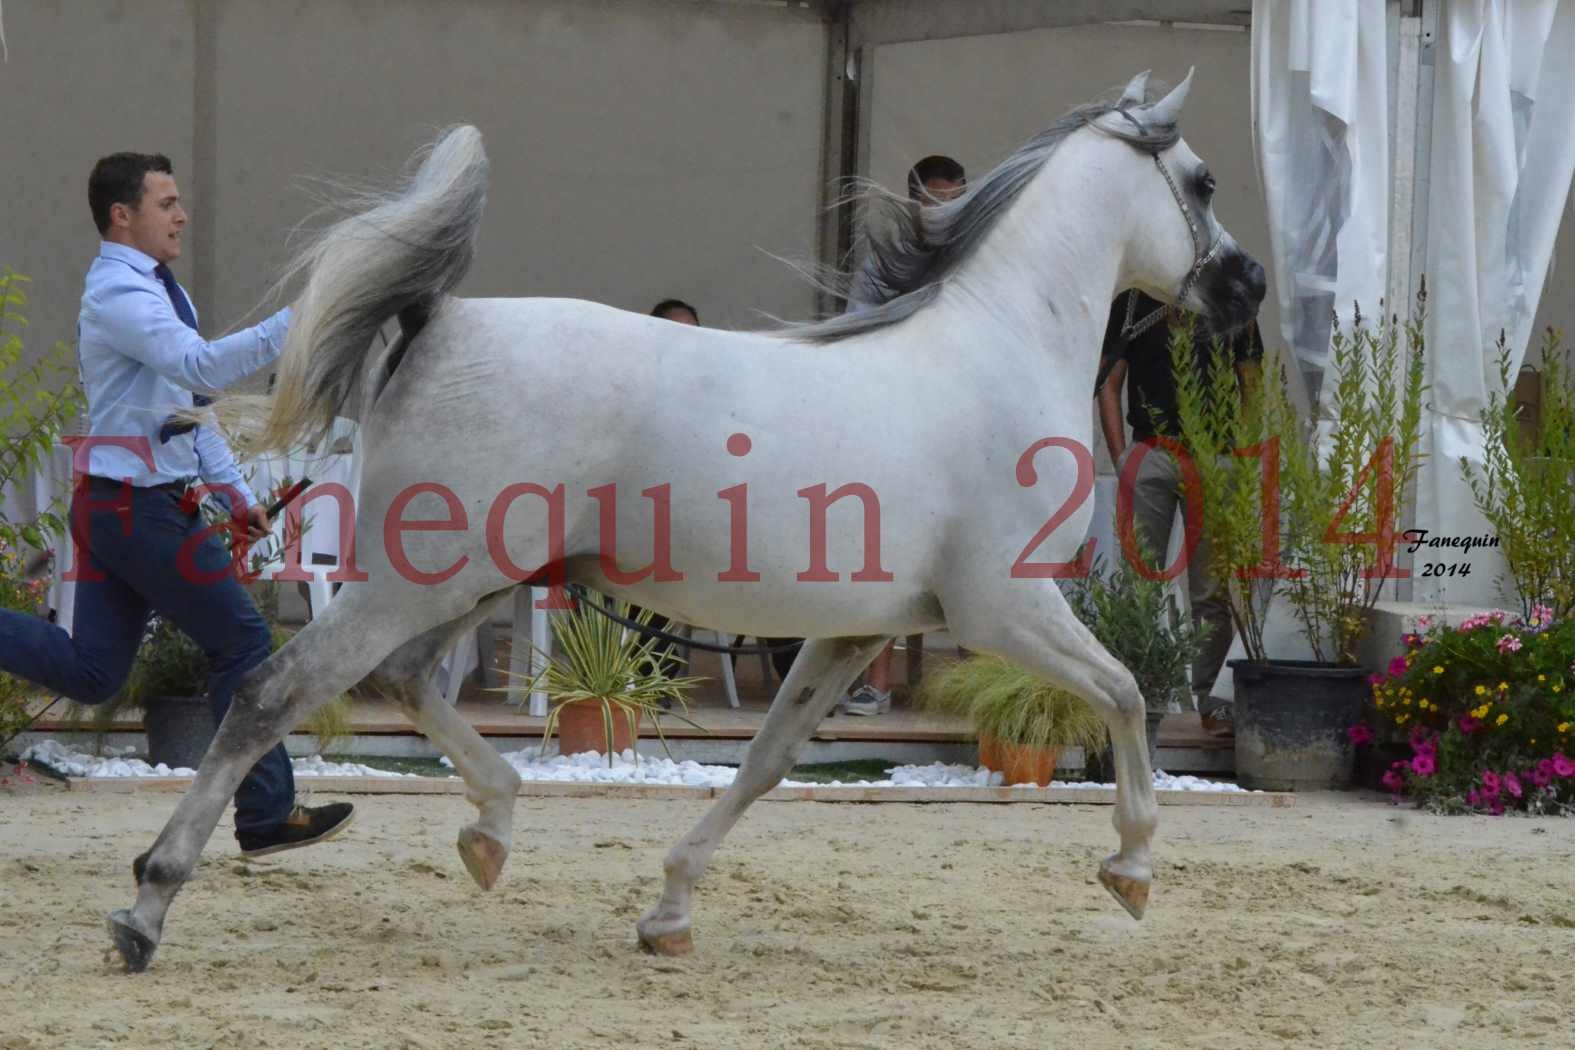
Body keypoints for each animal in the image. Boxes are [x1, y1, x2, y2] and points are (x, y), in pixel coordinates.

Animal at [107, 69, 1266, 976]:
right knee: (274, 693)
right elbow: (1125, 695)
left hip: (470, 580)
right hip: (417, 578)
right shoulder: (1004, 609)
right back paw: (146, 906)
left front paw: (667, 911)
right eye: (1204, 181)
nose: (1249, 286)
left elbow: (765, 762)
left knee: (401, 683)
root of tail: (444, 318)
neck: (996, 351)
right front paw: (1130, 867)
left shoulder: (854, 633)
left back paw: (491, 830)